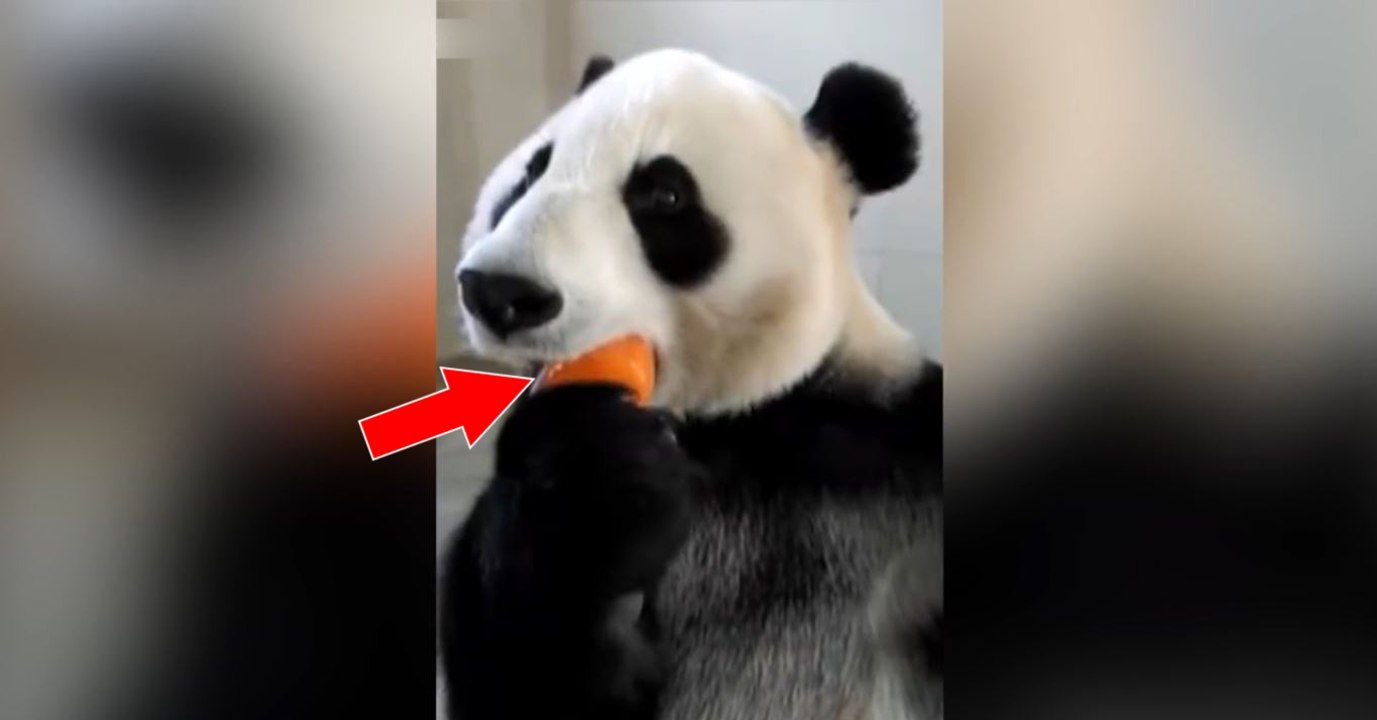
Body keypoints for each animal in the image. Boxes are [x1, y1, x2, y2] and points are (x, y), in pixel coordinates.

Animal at [441, 49, 941, 720]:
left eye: (664, 194)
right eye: (530, 176)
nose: (499, 292)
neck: (734, 420)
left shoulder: (886, 442)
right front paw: (589, 479)